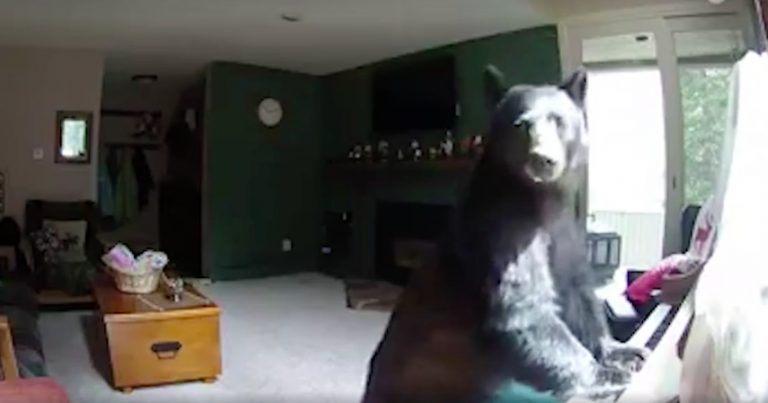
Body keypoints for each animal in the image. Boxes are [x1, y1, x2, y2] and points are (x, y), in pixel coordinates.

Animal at [361, 67, 645, 403]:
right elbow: (524, 310)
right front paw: (607, 376)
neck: (542, 201)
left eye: (558, 119)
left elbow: (579, 296)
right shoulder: (502, 231)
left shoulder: (566, 235)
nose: (542, 159)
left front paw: (622, 351)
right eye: (521, 124)